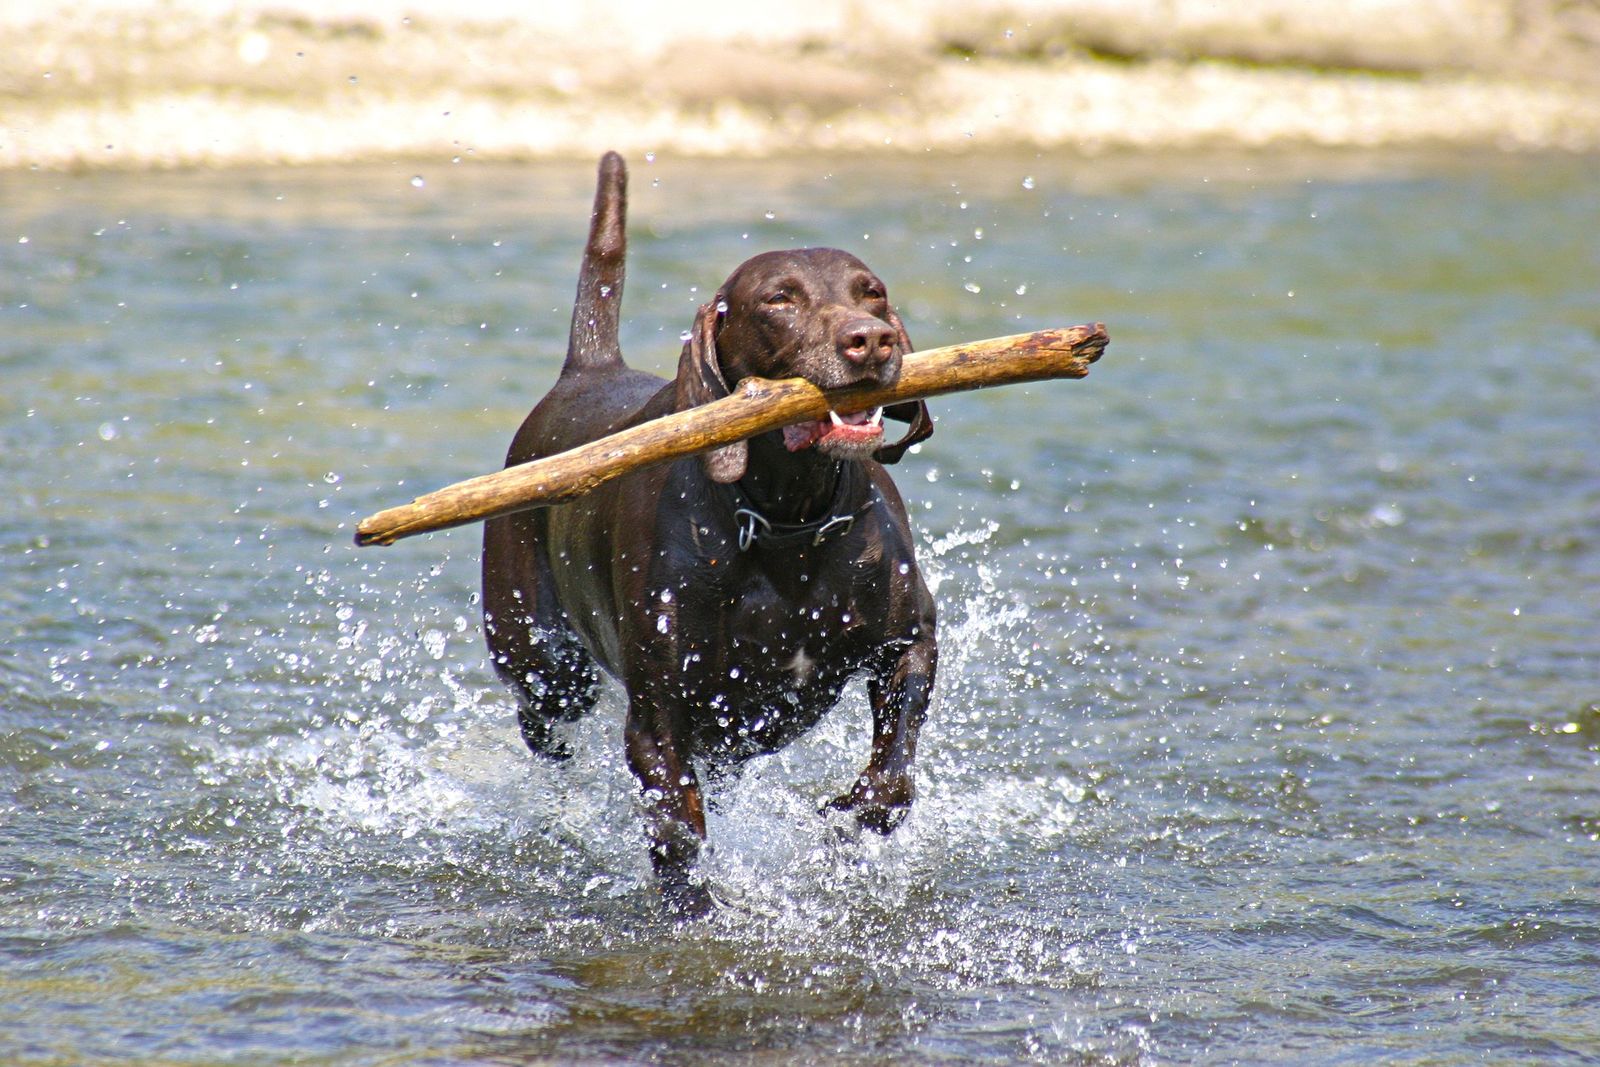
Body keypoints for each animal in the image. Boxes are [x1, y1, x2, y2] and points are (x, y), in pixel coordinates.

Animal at [483, 151, 934, 921]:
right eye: (779, 299)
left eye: (871, 292)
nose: (868, 339)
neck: (787, 523)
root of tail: (587, 370)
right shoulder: (659, 714)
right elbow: (675, 828)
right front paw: (692, 909)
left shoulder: (909, 645)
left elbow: (892, 777)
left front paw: (849, 816)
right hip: (544, 662)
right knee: (543, 722)